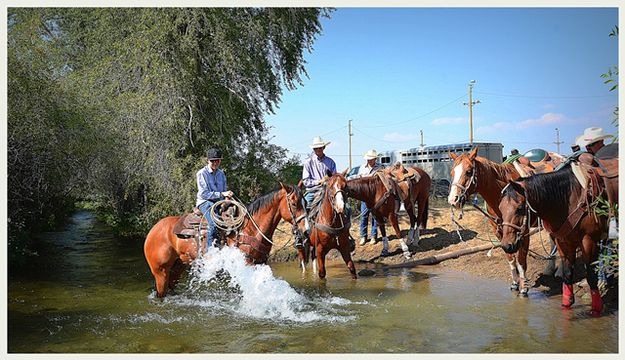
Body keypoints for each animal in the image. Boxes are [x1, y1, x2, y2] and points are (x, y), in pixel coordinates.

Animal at [142, 183, 308, 298]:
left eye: (305, 202)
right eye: (294, 203)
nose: (306, 230)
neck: (250, 229)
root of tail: (152, 231)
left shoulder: (261, 262)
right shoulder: (247, 263)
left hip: (176, 268)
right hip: (160, 271)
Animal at [446, 146, 560, 296]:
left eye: (469, 172)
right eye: (452, 172)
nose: (453, 199)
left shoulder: (523, 231)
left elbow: (521, 261)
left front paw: (524, 287)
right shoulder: (500, 232)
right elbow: (510, 258)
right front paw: (515, 283)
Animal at [500, 163, 612, 316]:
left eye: (520, 208)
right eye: (500, 208)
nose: (507, 246)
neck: (571, 199)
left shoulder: (589, 241)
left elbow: (591, 276)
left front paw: (596, 310)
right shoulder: (563, 241)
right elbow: (567, 274)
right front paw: (567, 304)